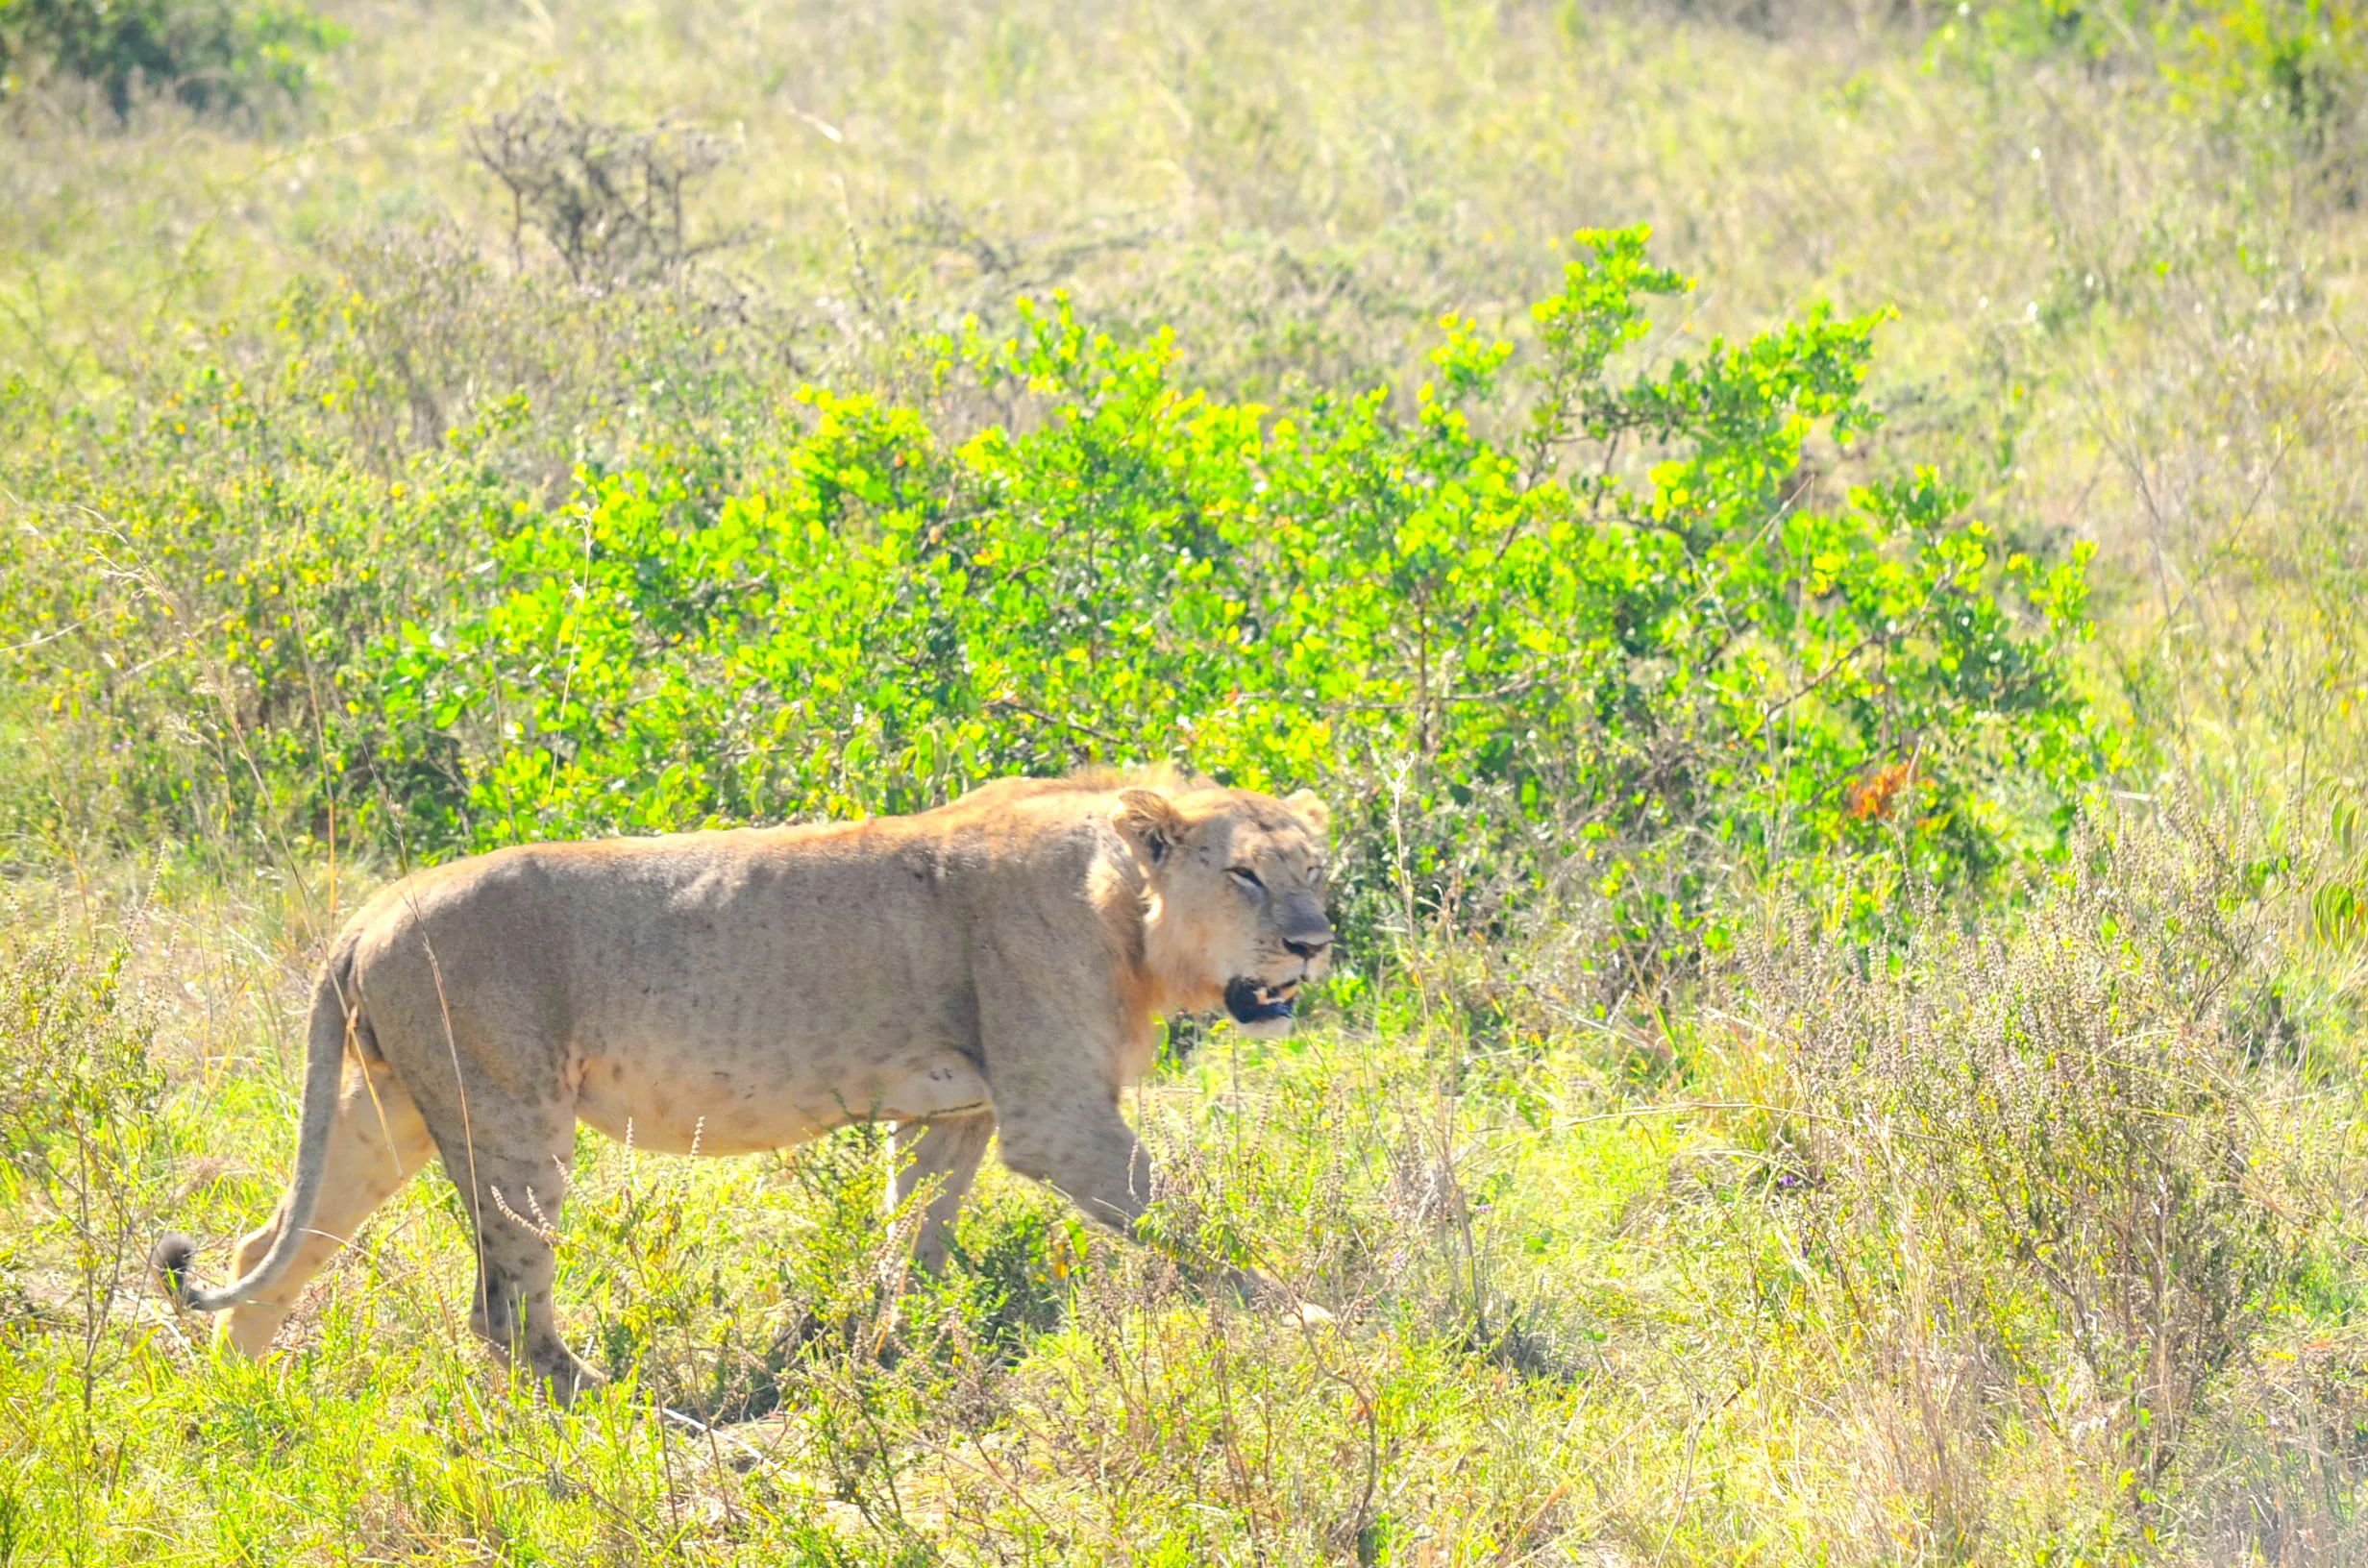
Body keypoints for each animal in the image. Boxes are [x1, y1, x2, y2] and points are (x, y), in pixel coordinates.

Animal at [152, 769, 1335, 1399]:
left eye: (1316, 872)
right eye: (1244, 874)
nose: (1315, 944)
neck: (1128, 916)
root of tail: (364, 916)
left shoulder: (954, 1112)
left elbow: (911, 1247)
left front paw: (890, 1355)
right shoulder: (1056, 1117)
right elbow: (1197, 1225)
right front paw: (1321, 1321)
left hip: (391, 1111)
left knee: (268, 1249)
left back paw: (238, 1415)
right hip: (511, 1112)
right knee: (503, 1313)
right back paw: (639, 1418)